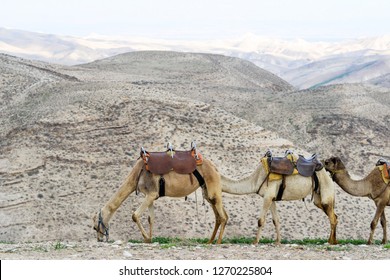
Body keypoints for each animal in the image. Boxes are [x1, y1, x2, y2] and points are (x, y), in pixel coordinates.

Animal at [92, 156, 229, 244]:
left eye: (94, 227)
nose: (99, 239)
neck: (136, 174)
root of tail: (214, 167)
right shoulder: (150, 195)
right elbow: (151, 218)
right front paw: (150, 239)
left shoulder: (151, 193)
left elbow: (135, 215)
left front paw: (147, 238)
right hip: (207, 190)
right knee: (220, 215)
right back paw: (210, 241)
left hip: (213, 188)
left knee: (222, 216)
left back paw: (218, 243)